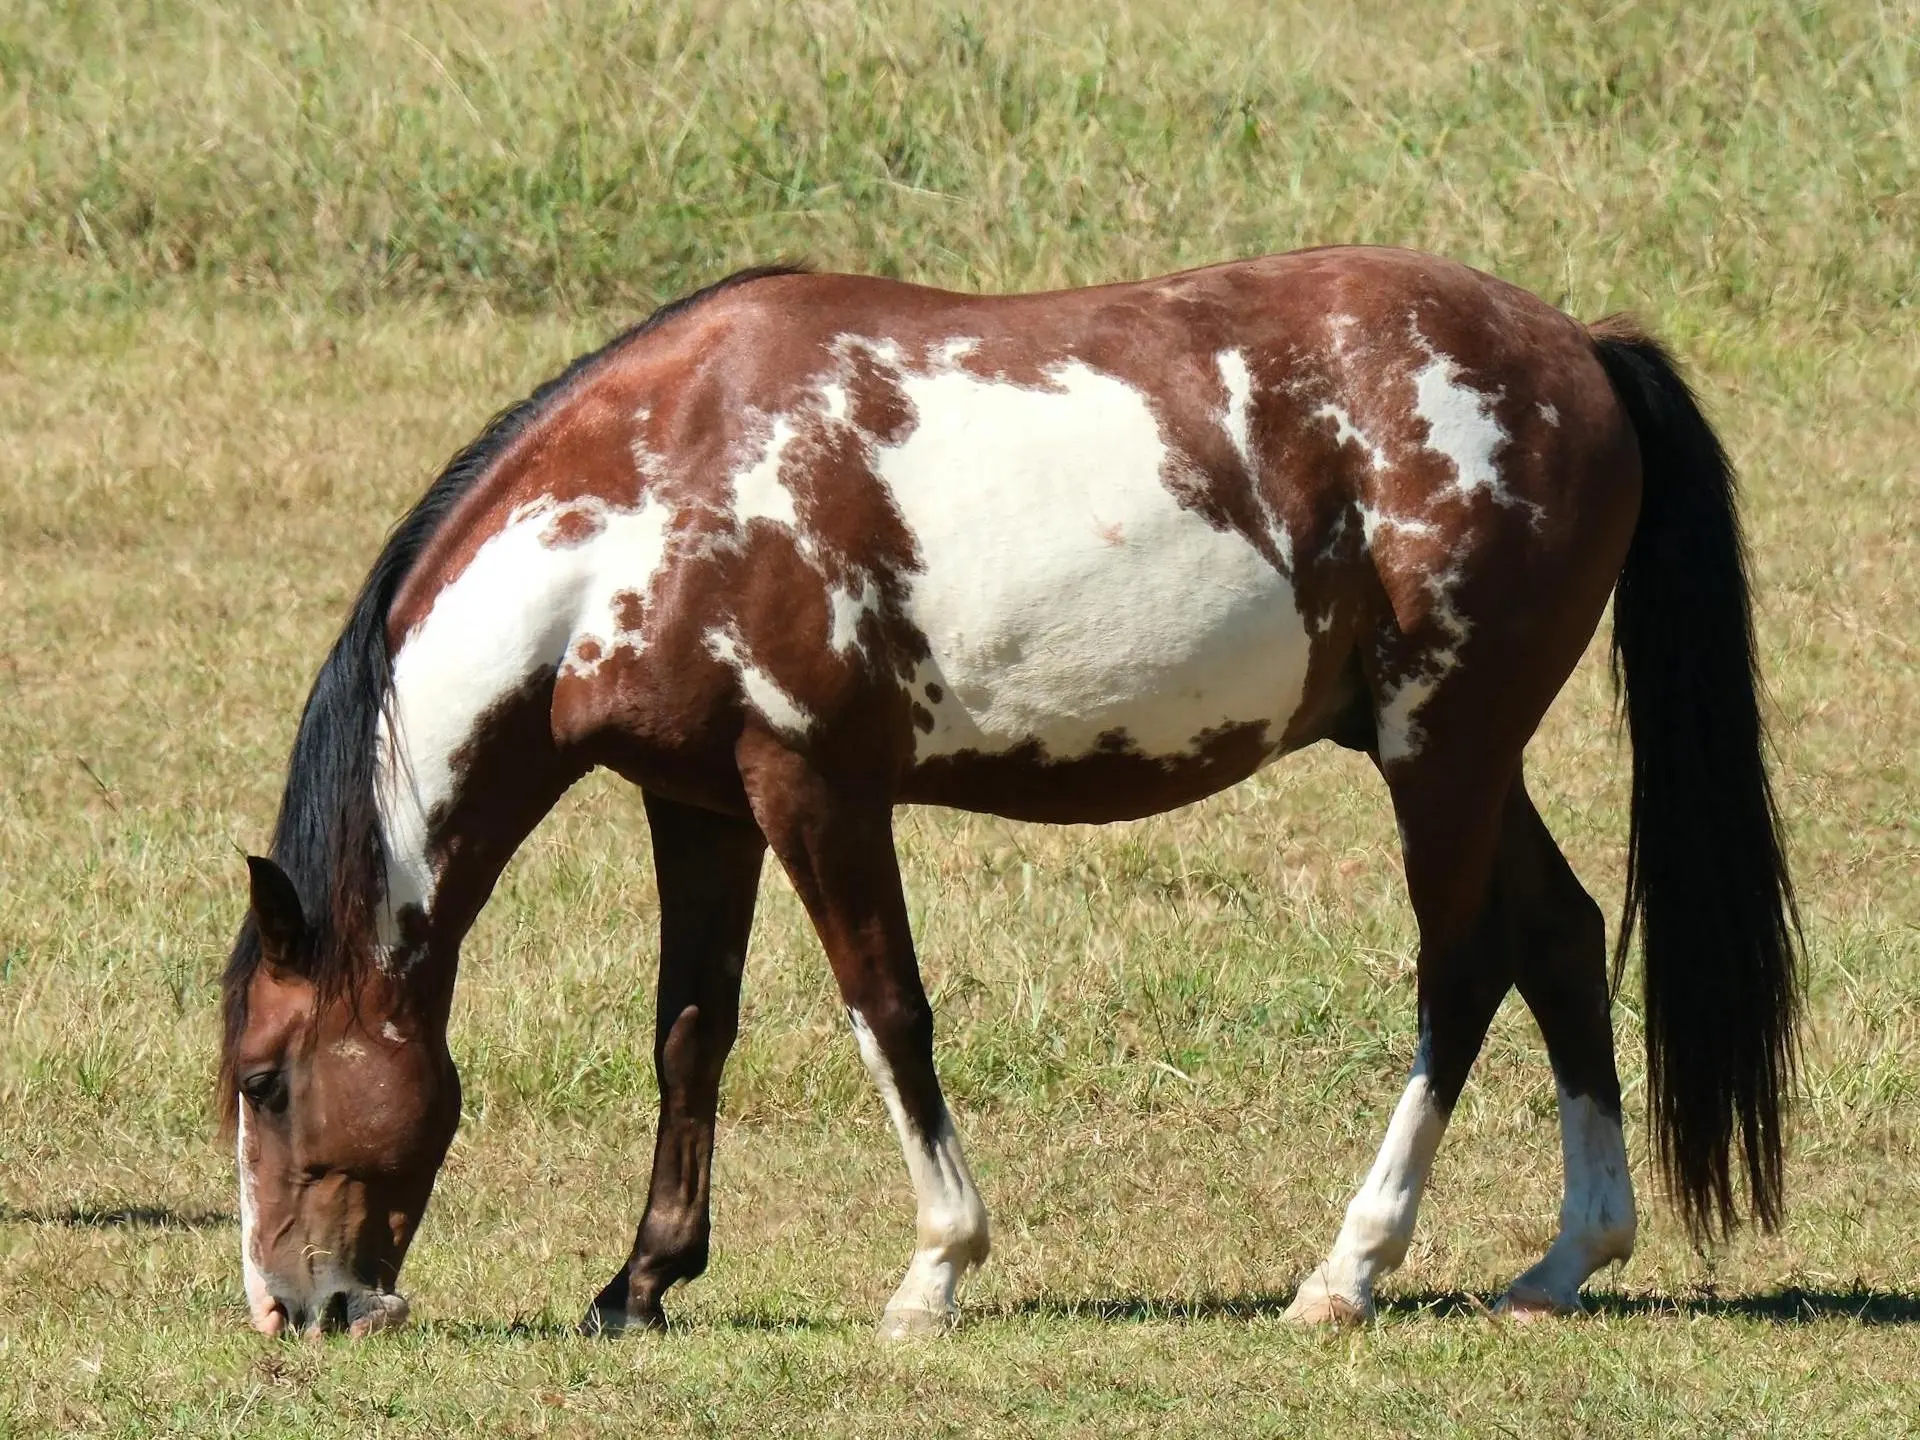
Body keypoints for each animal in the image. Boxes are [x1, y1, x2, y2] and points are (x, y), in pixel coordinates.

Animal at [224, 247, 1797, 1344]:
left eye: (263, 1079)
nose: (295, 1310)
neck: (647, 509)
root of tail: (1581, 348)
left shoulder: (817, 792)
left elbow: (889, 1012)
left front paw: (936, 1272)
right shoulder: (704, 808)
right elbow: (690, 1036)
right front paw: (642, 1281)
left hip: (1441, 751)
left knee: (1460, 973)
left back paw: (1347, 1270)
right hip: (1453, 751)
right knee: (1565, 939)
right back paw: (1569, 1257)